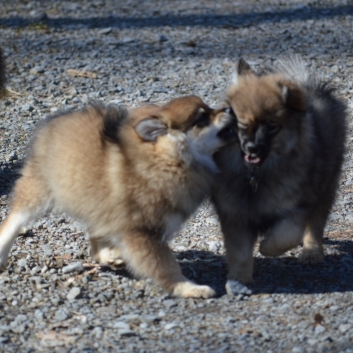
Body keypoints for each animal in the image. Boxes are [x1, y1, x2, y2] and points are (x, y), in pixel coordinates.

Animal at [0, 95, 236, 296]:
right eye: (202, 118)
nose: (229, 108)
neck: (167, 159)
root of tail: (53, 121)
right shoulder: (142, 232)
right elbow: (166, 266)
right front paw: (188, 288)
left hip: (96, 199)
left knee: (97, 234)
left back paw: (109, 255)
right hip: (41, 190)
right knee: (14, 219)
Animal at [212, 58, 346, 294]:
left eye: (272, 127)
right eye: (242, 124)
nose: (252, 148)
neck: (256, 176)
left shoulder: (298, 205)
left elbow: (286, 235)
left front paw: (266, 247)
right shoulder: (235, 213)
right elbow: (239, 252)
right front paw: (239, 279)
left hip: (327, 184)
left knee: (316, 223)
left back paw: (312, 252)